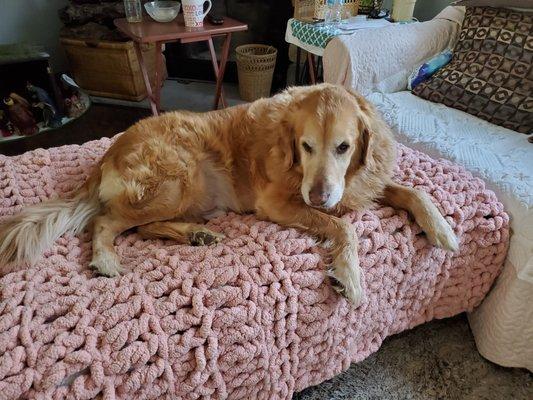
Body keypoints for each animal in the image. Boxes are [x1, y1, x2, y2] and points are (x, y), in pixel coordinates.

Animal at [1, 83, 458, 304]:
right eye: (306, 146)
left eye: (344, 147)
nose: (318, 197)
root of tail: (108, 152)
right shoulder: (278, 202)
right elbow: (344, 227)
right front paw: (349, 276)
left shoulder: (360, 184)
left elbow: (413, 192)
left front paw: (442, 229)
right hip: (179, 177)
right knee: (106, 220)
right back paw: (106, 259)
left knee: (143, 227)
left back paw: (195, 234)